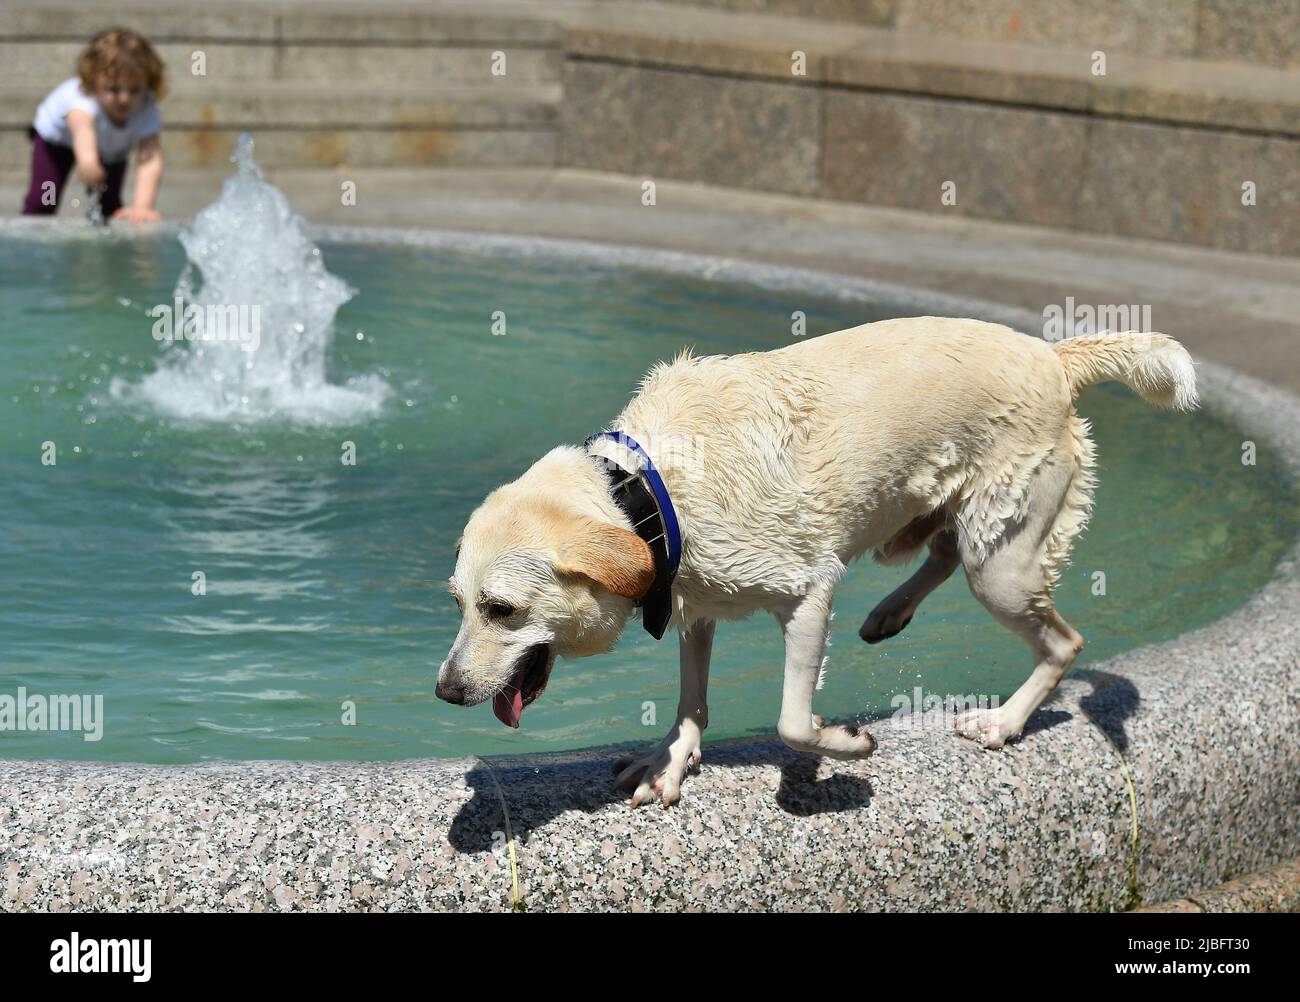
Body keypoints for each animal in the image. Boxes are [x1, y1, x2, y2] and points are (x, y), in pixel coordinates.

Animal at [439, 319, 1196, 805]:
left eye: (501, 610)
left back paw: (1003, 722)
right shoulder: (696, 601)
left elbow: (791, 723)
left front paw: (849, 745)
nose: (444, 691)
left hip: (1003, 566)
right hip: (949, 525)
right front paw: (670, 760)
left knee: (1061, 640)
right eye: (457, 602)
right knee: (944, 549)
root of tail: (1054, 356)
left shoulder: (808, 590)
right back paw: (890, 612)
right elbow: (691, 699)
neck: (644, 491)